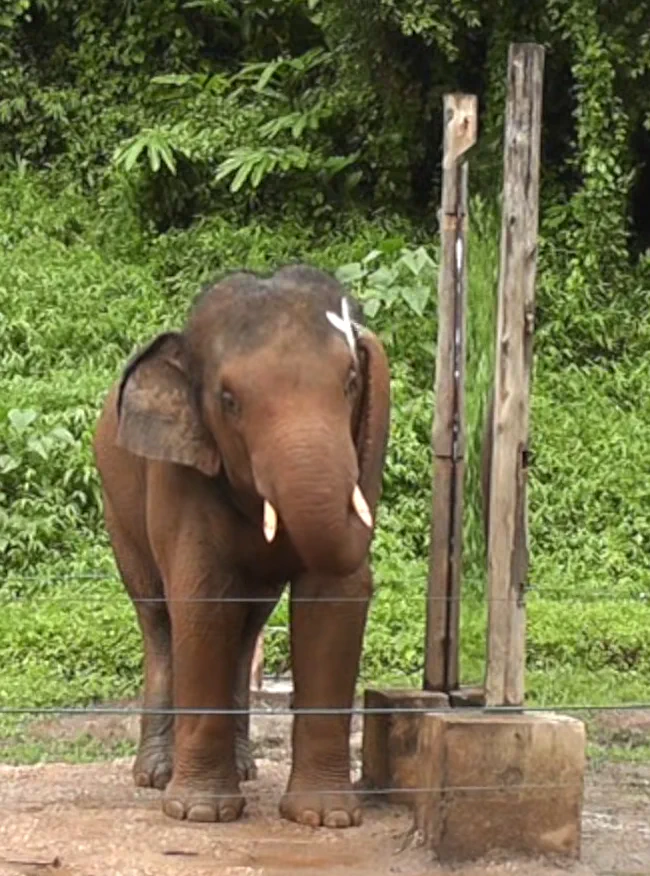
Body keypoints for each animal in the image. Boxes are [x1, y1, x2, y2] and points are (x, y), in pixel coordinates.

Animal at [92, 264, 391, 829]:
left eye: (350, 382)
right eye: (229, 402)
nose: (360, 329)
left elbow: (334, 597)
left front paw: (325, 818)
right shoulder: (178, 470)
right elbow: (204, 597)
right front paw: (199, 813)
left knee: (249, 623)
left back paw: (245, 770)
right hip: (117, 511)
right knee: (158, 619)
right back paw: (156, 775)